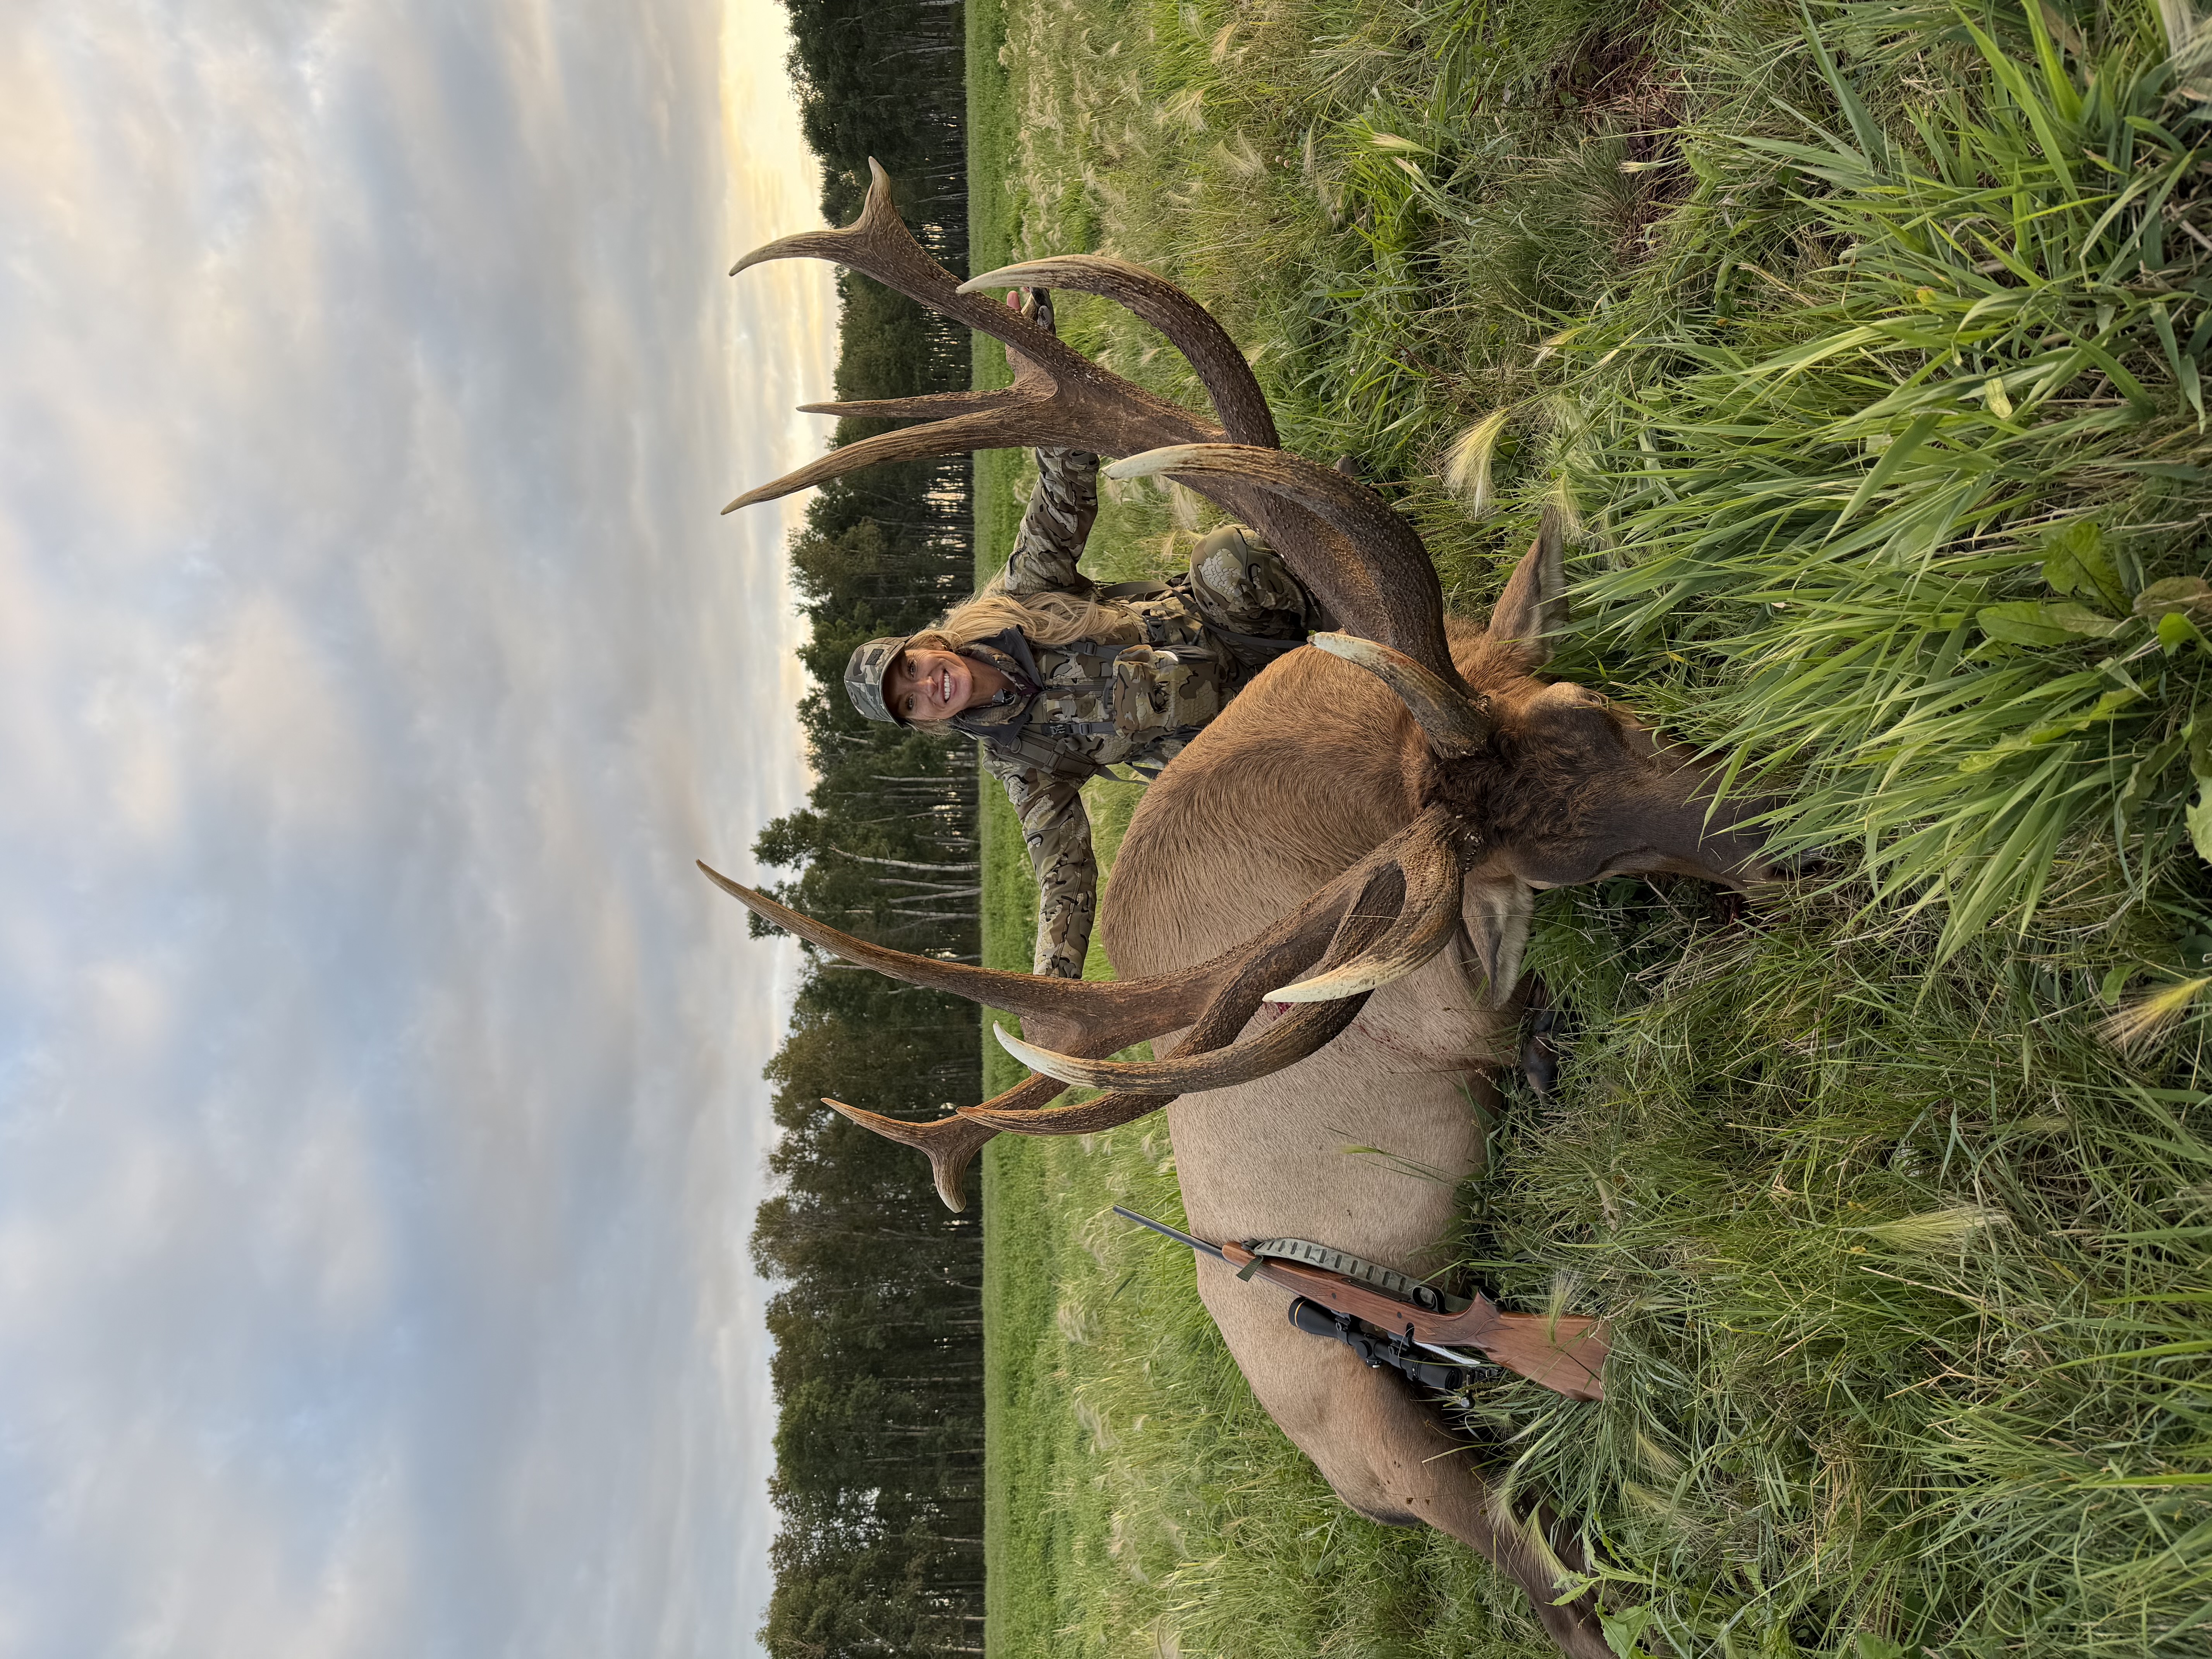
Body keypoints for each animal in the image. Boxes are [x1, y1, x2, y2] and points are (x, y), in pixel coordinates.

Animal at [706, 163, 1777, 1657]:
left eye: (1603, 712)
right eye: (1543, 876)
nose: (1793, 833)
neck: (1338, 770)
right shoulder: (1436, 996)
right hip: (1358, 1426)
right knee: (1534, 1563)